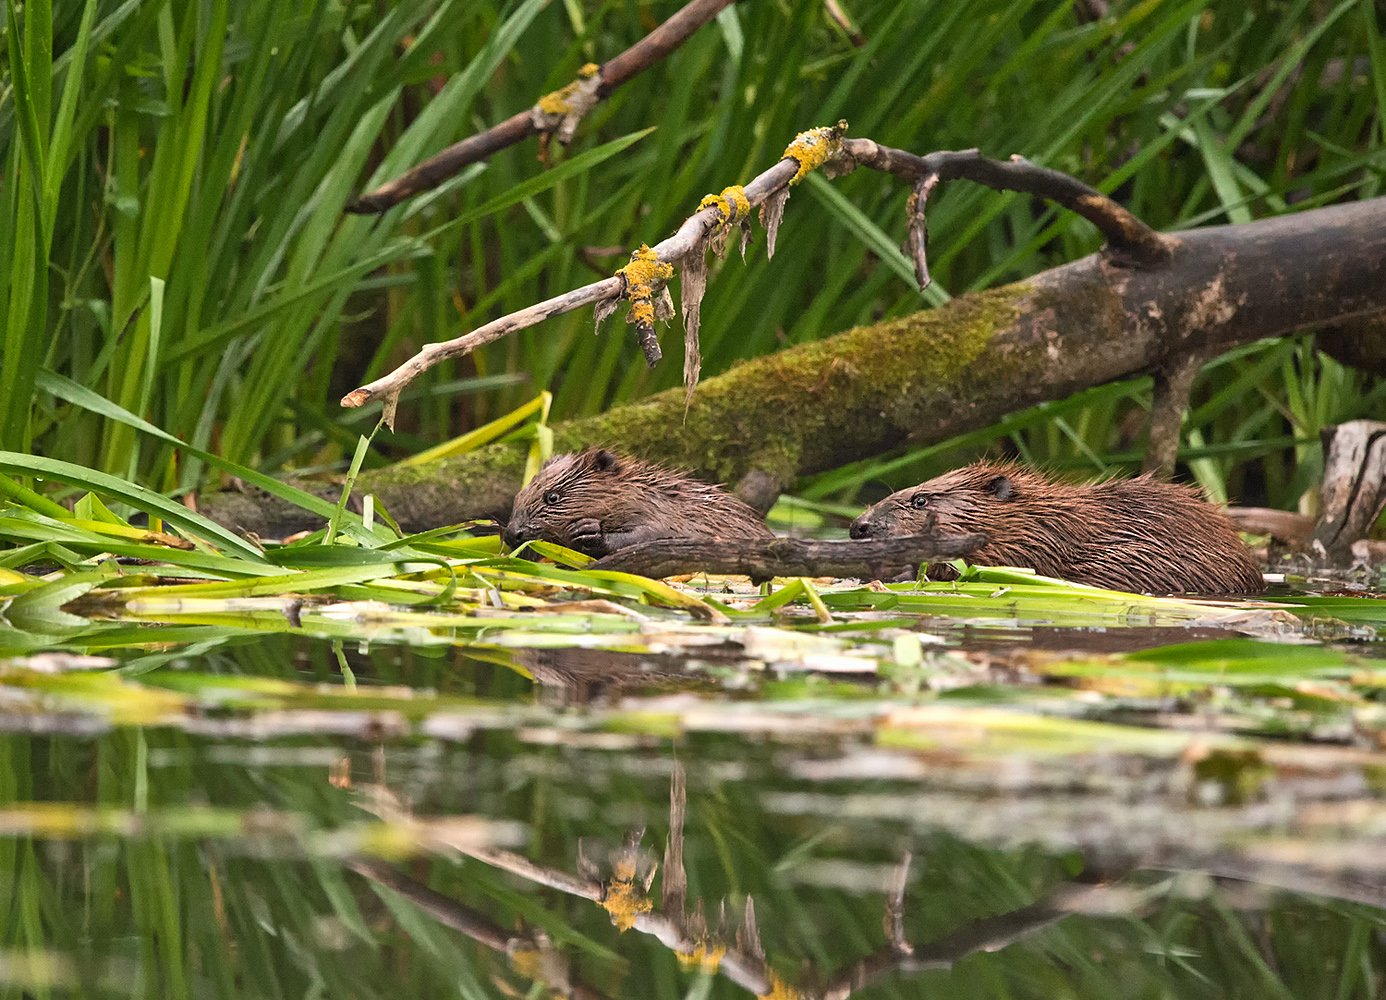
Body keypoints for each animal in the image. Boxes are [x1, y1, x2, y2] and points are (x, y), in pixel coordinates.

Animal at [504, 448, 776, 556]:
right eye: (518, 495)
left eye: (552, 497)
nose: (511, 534)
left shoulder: (669, 517)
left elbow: (652, 535)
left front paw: (587, 531)